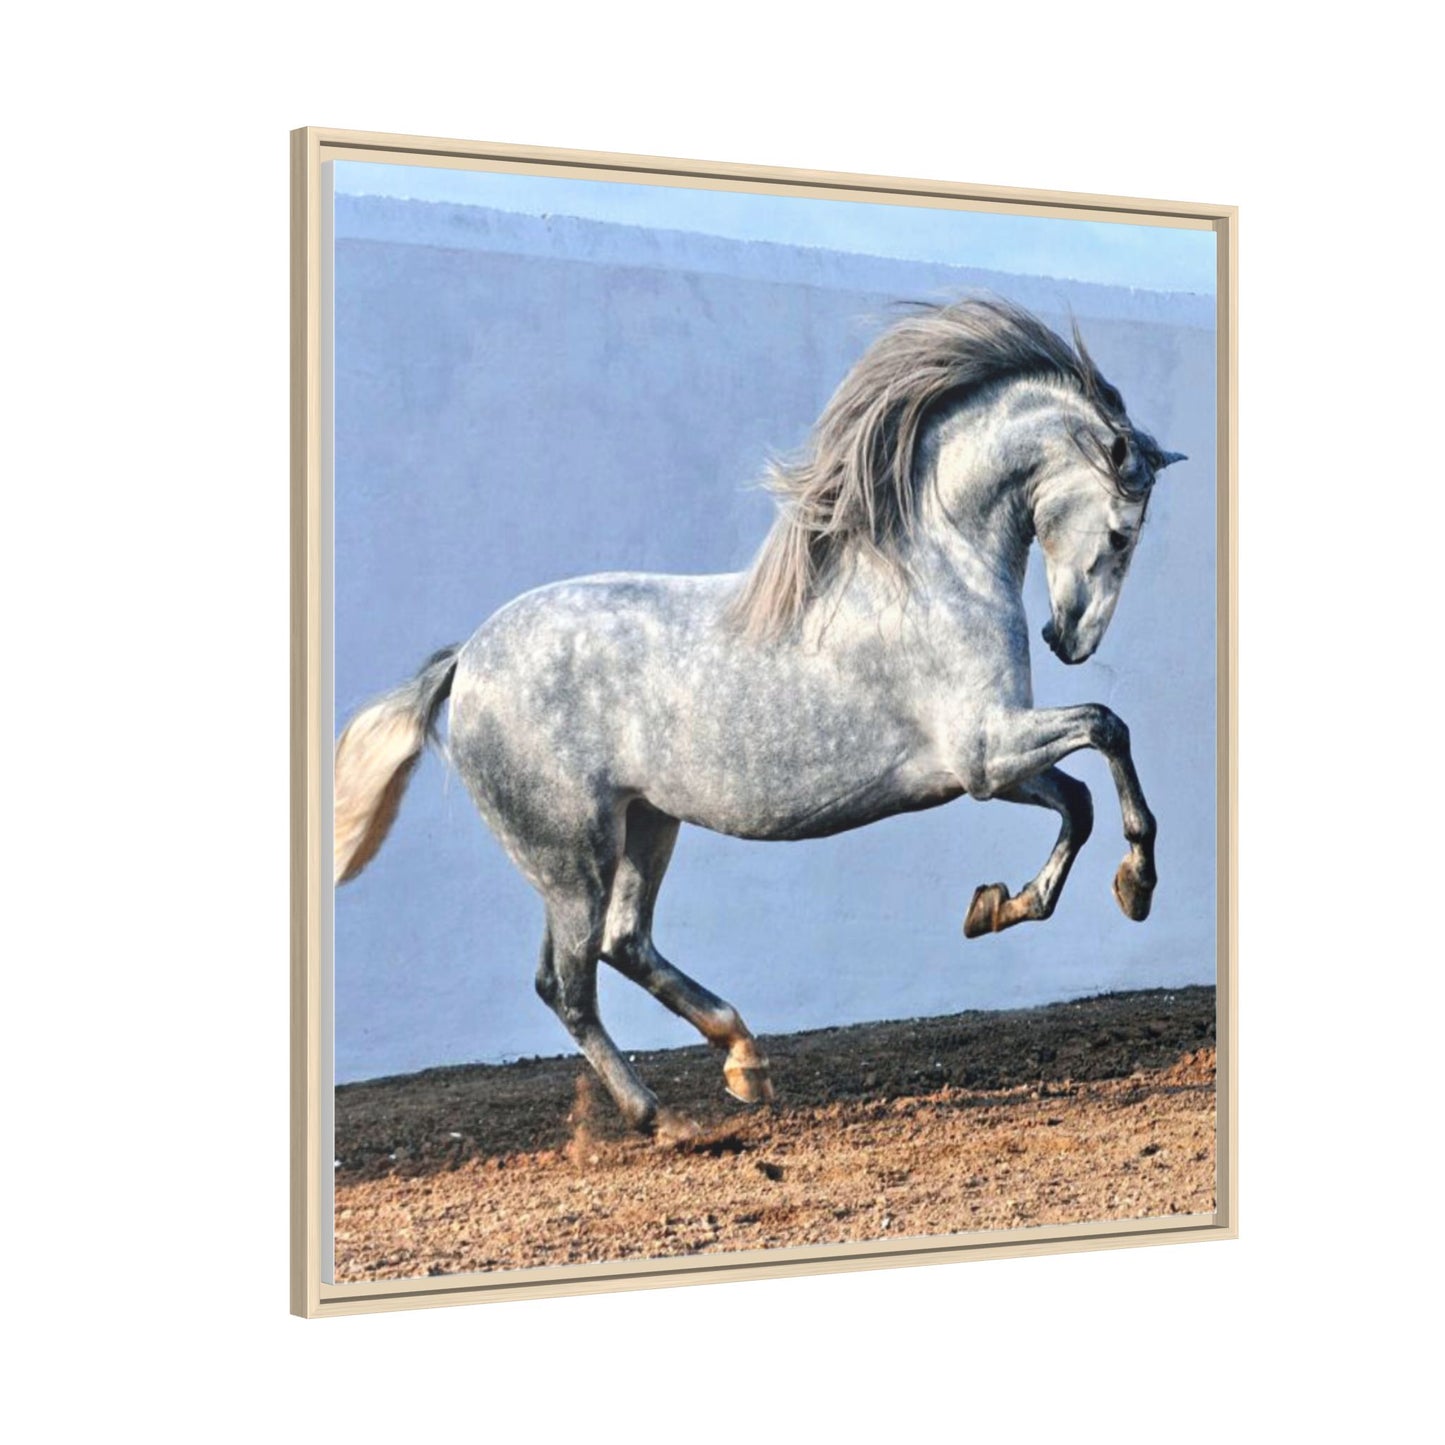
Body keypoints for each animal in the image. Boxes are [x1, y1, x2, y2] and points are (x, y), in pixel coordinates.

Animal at [333, 296, 1186, 1142]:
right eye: (1121, 532)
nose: (1068, 639)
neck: (931, 573)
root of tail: (465, 662)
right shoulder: (984, 750)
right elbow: (1108, 729)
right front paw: (1136, 884)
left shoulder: (979, 763)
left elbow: (1078, 798)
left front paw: (1000, 906)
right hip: (569, 853)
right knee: (566, 984)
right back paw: (658, 1114)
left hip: (642, 825)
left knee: (623, 942)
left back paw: (743, 1058)